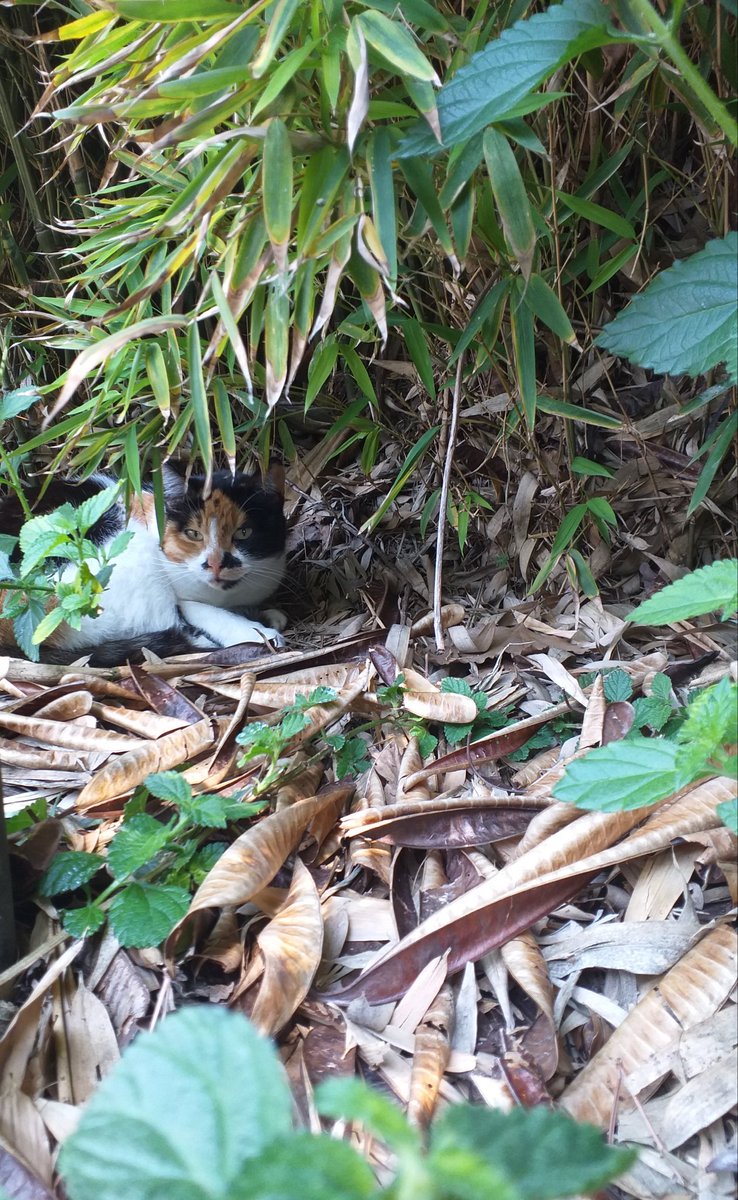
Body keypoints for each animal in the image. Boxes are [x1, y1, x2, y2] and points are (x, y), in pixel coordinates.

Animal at [0, 463, 289, 667]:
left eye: (244, 533)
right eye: (193, 534)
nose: (216, 563)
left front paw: (267, 614)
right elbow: (203, 611)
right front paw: (258, 632)